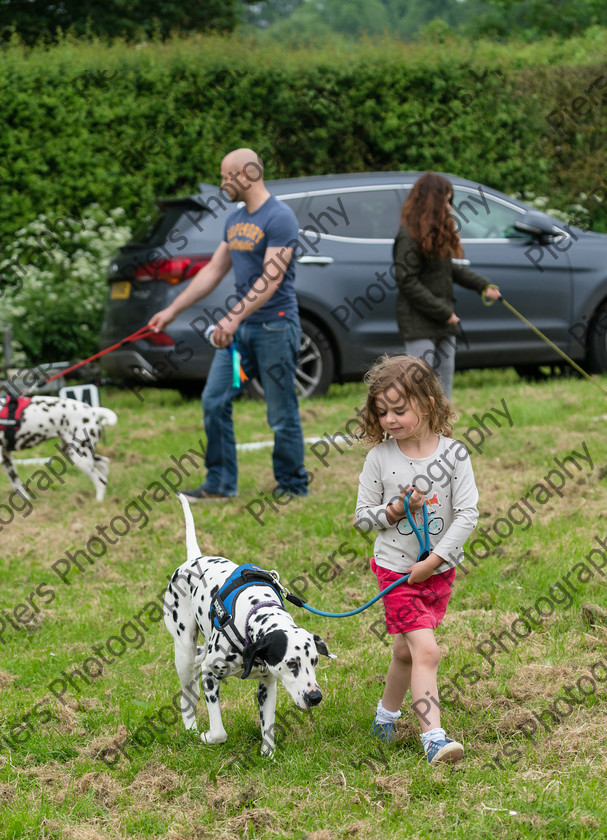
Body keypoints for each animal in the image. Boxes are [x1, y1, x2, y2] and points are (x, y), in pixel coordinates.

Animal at [165, 492, 332, 756]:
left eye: (314, 661)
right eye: (291, 663)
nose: (315, 697)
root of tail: (194, 559)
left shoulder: (267, 685)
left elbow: (268, 729)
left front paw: (267, 754)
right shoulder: (210, 675)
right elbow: (219, 732)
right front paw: (206, 736)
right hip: (183, 652)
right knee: (187, 695)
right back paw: (191, 729)